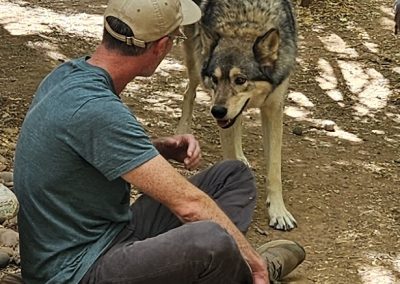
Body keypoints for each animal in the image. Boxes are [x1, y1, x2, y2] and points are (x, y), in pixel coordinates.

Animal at [177, 0, 298, 231]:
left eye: (240, 80)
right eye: (215, 79)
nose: (217, 111)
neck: (244, 23)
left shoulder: (273, 109)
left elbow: (274, 170)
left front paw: (279, 212)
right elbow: (229, 157)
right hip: (196, 65)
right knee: (188, 93)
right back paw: (183, 135)